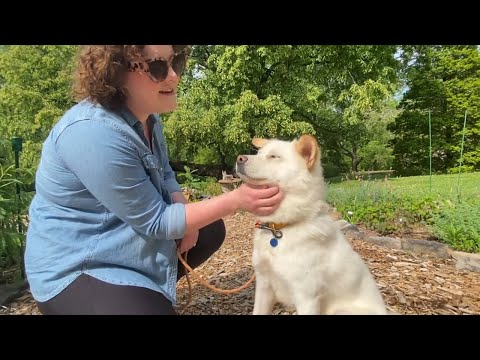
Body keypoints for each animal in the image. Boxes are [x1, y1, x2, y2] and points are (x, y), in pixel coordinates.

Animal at [234, 135, 388, 316]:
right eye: (259, 153)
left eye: (274, 156)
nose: (239, 158)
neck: (280, 228)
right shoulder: (264, 286)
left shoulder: (306, 297)